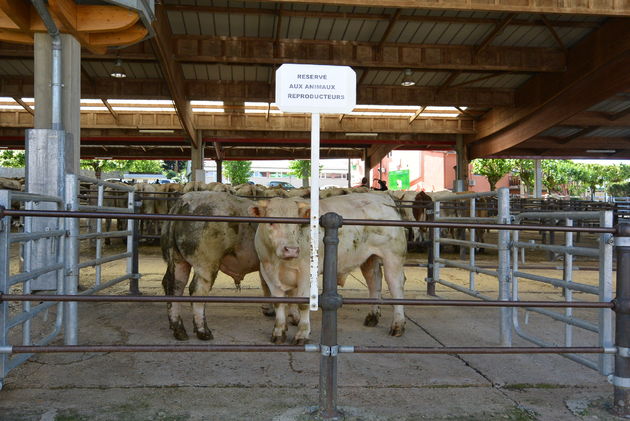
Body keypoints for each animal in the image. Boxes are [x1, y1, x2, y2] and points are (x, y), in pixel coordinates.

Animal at [249, 193, 408, 344]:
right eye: (271, 222)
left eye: (298, 223)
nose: (291, 250)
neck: (279, 262)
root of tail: (382, 196)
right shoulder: (268, 272)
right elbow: (279, 303)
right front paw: (279, 332)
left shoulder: (306, 274)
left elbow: (303, 304)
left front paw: (302, 333)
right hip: (369, 259)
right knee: (374, 283)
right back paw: (373, 317)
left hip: (393, 257)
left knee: (396, 288)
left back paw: (398, 325)